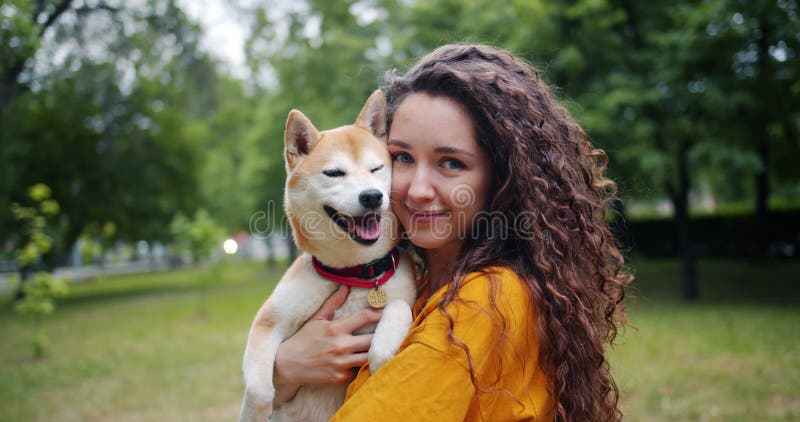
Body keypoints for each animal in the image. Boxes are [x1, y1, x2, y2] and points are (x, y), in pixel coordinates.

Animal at [239, 90, 416, 420]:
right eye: (334, 173)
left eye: (377, 169)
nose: (372, 196)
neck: (355, 272)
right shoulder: (268, 322)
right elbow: (259, 391)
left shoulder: (403, 294)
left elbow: (398, 309)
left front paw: (382, 353)